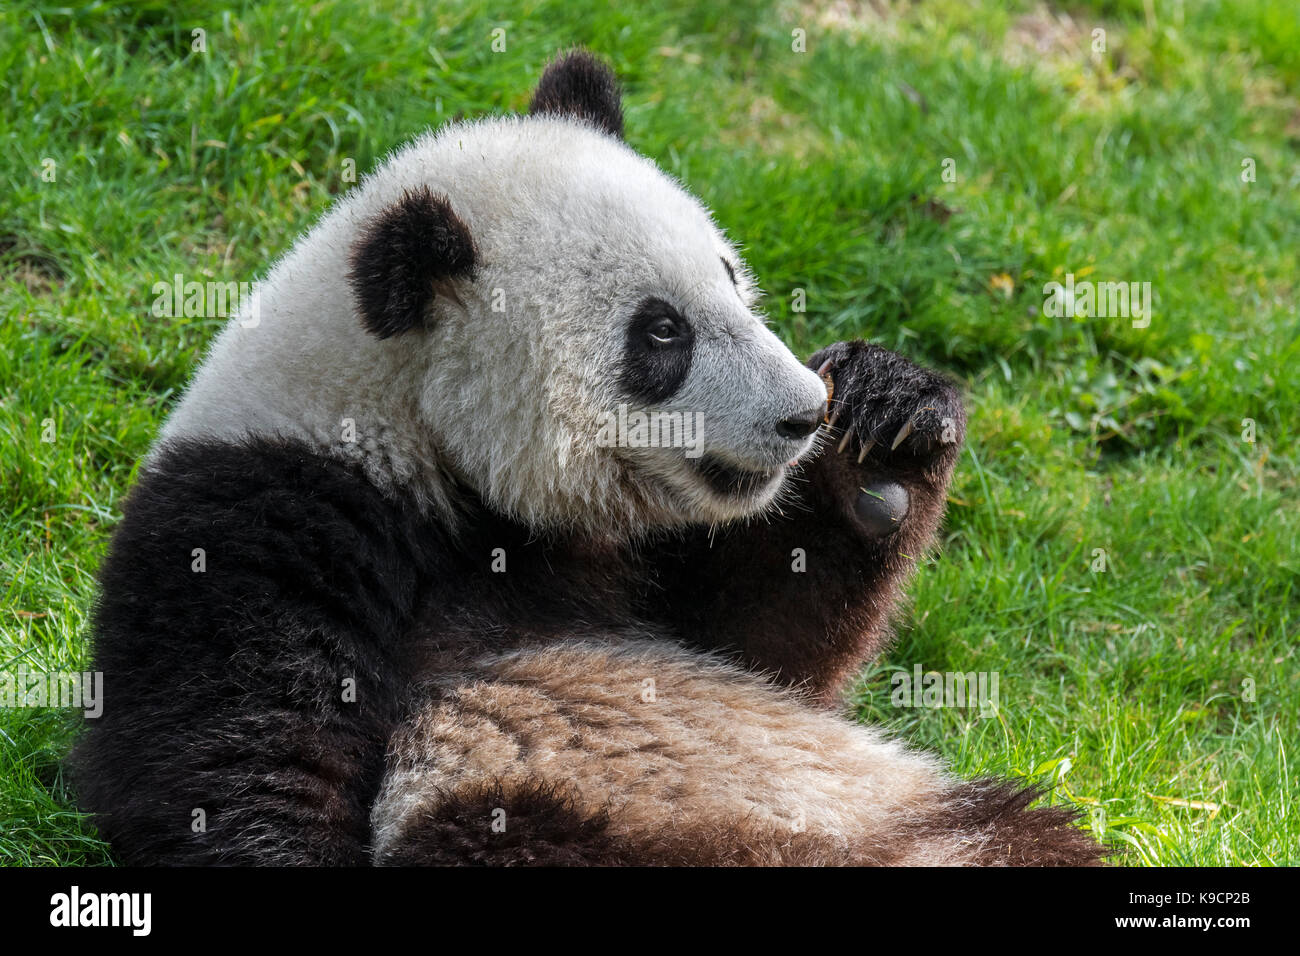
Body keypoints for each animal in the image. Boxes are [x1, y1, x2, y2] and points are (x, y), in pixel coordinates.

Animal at [72, 51, 1103, 866]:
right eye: (662, 334)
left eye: (731, 278)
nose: (801, 416)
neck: (430, 456)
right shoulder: (269, 516)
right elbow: (238, 757)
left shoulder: (639, 568)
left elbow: (769, 648)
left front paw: (884, 426)